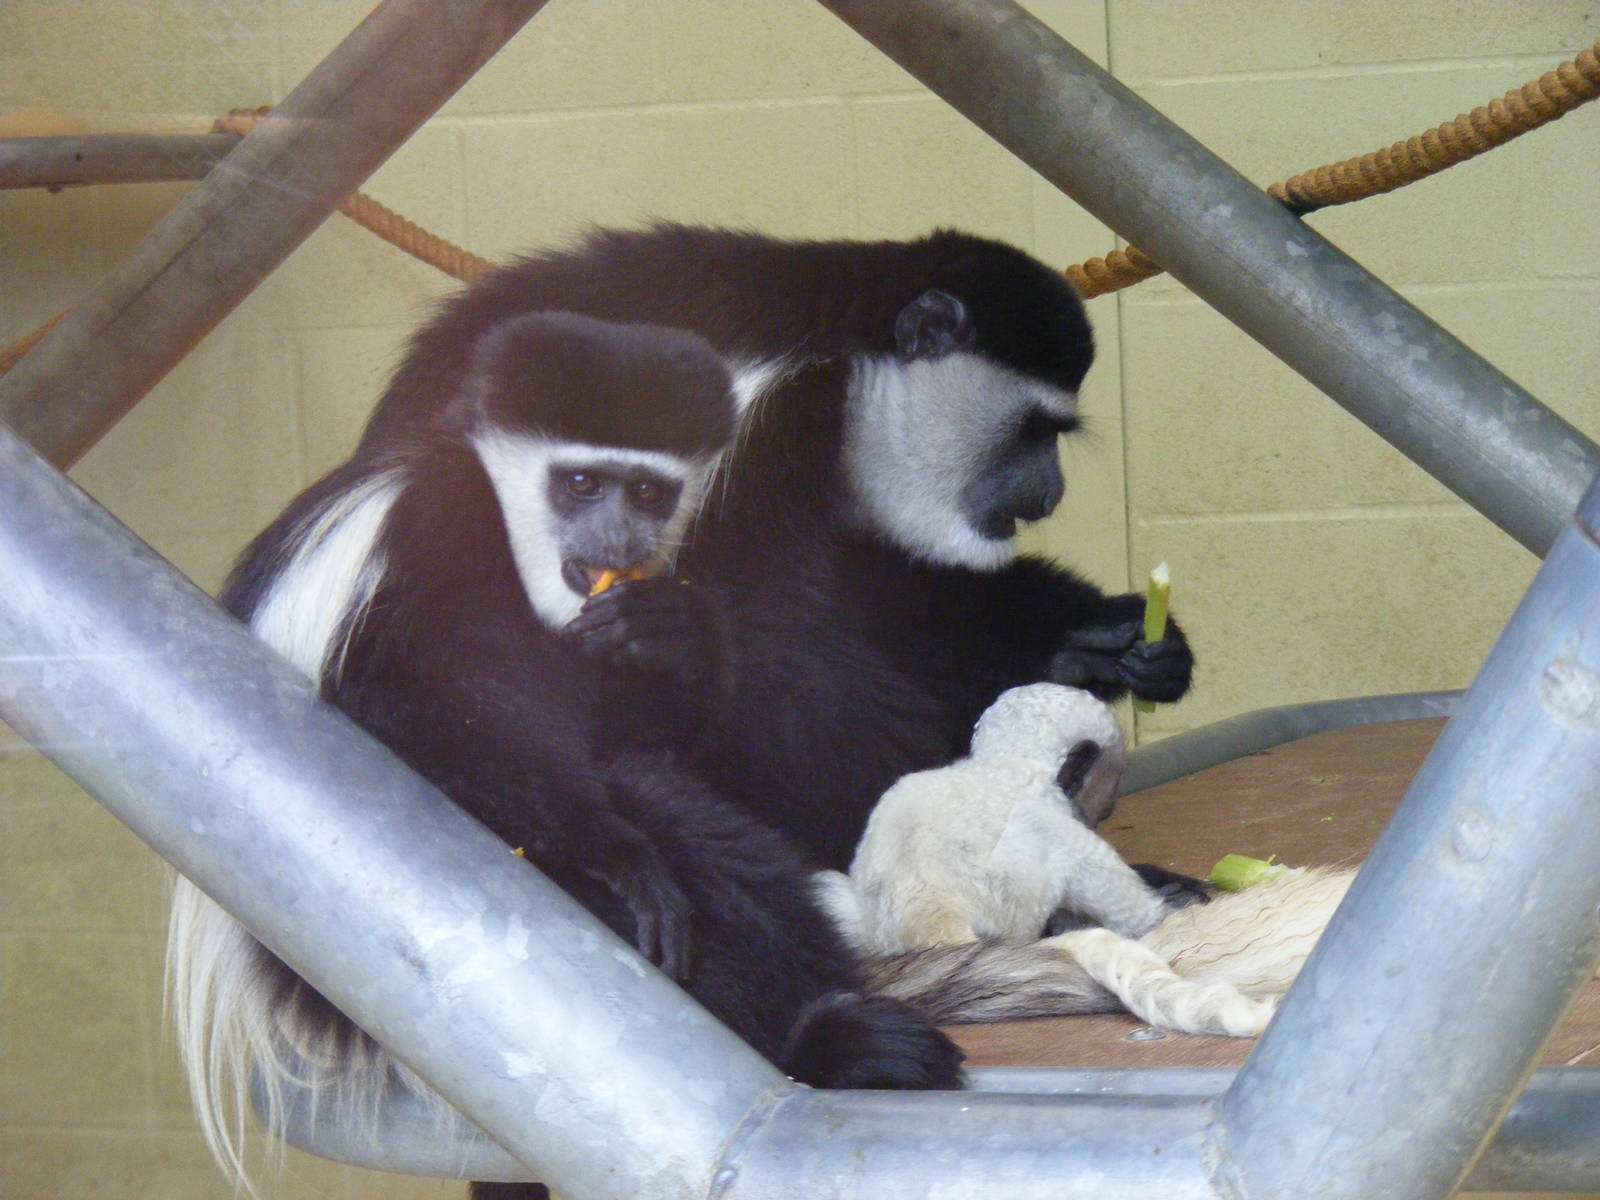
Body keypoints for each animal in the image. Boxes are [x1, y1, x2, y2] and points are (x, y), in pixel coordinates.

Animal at [167, 311, 962, 1195]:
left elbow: (643, 724)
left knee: (677, 810)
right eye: (580, 484)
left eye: (648, 493)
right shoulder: (427, 537)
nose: (620, 535)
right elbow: (430, 714)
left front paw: (674, 635)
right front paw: (611, 848)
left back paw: (830, 1036)